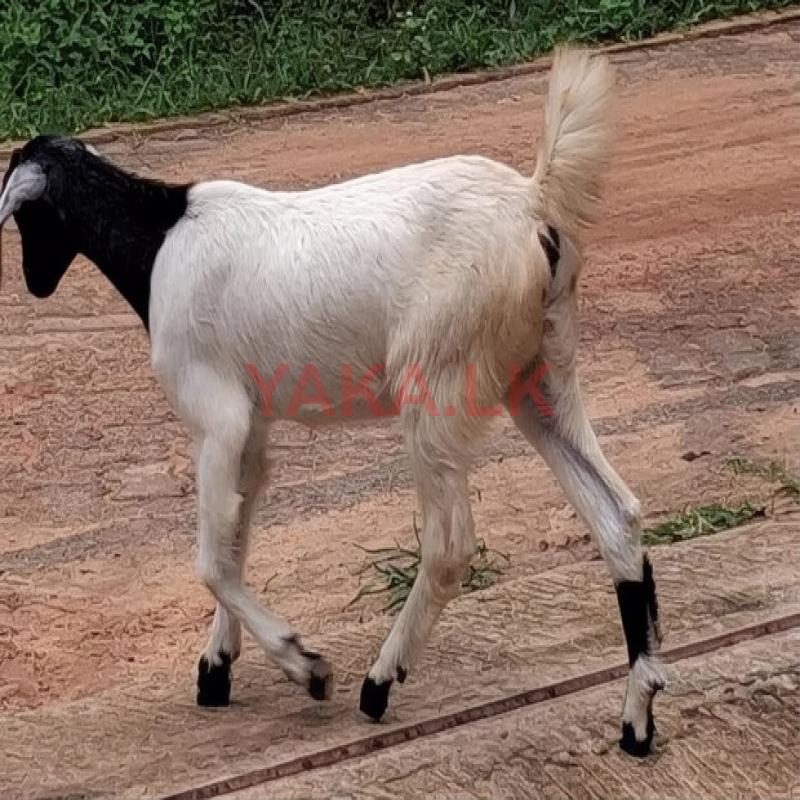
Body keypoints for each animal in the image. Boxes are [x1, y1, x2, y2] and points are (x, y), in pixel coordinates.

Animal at [0, 49, 664, 756]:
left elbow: (211, 559)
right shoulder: (252, 427)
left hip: (437, 380)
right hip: (538, 373)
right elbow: (236, 536)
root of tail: (533, 204)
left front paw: (304, 665)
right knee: (617, 513)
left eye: (29, 218)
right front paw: (217, 667)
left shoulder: (217, 416)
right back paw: (638, 715)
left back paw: (381, 681)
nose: (35, 284)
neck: (156, 238)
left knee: (451, 546)